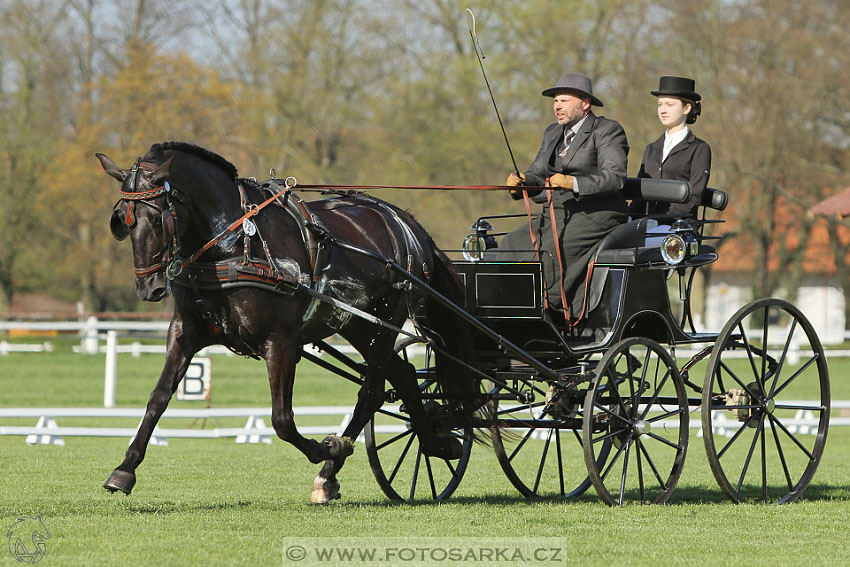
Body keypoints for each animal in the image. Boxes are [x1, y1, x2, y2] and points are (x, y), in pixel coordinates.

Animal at [97, 144, 476, 504]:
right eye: (122, 222)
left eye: (158, 218)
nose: (149, 288)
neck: (232, 245)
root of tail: (405, 222)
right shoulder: (185, 332)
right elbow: (158, 397)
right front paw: (124, 469)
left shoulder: (279, 342)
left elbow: (282, 419)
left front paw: (328, 446)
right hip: (356, 324)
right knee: (404, 375)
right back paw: (433, 443)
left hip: (385, 320)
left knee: (371, 391)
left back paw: (334, 466)